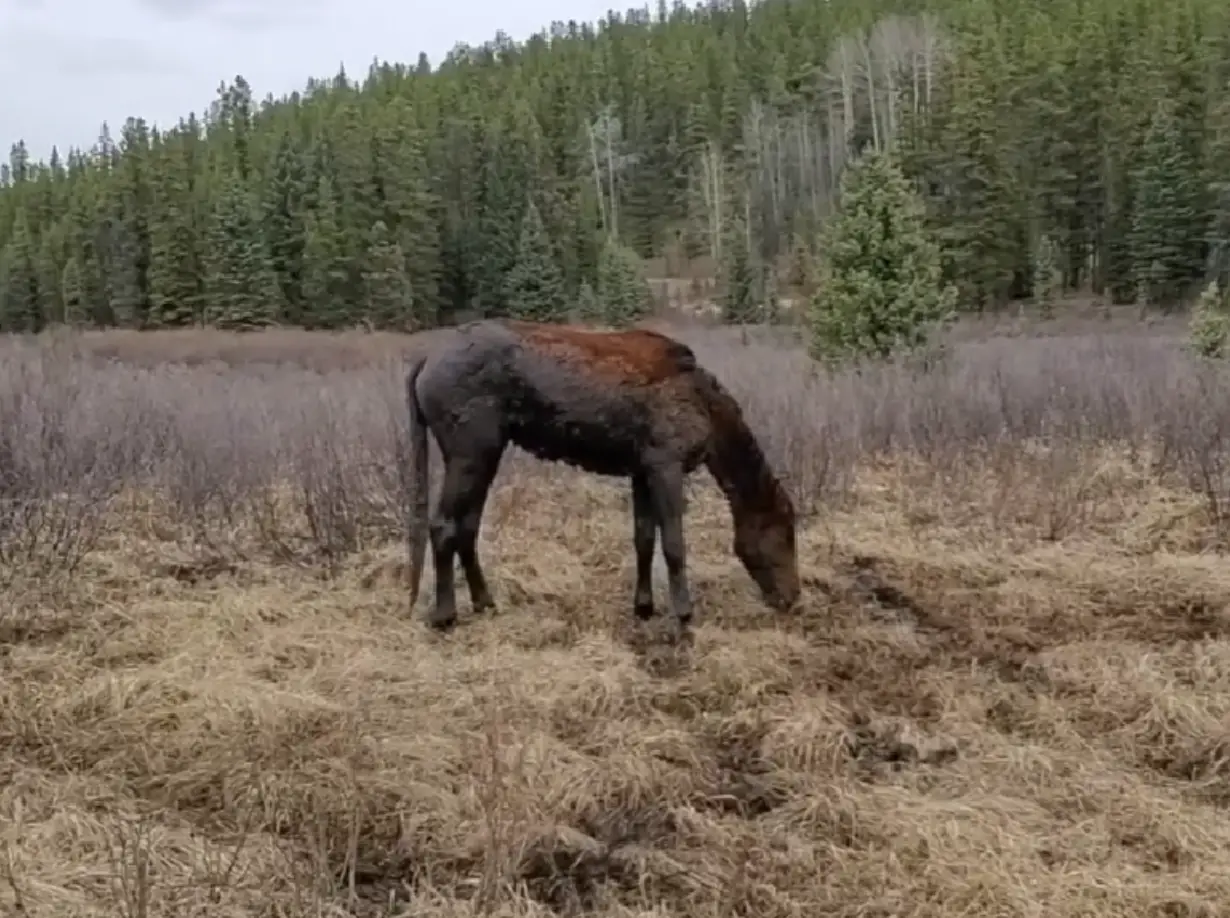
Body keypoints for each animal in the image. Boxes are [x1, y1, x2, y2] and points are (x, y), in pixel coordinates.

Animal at [404, 318, 801, 631]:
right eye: (785, 533)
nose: (794, 597)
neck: (710, 416)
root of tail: (424, 362)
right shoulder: (665, 464)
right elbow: (674, 544)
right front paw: (683, 611)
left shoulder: (641, 470)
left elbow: (643, 539)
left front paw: (644, 606)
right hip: (469, 452)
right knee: (442, 525)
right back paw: (444, 614)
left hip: (485, 453)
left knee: (467, 526)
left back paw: (484, 601)